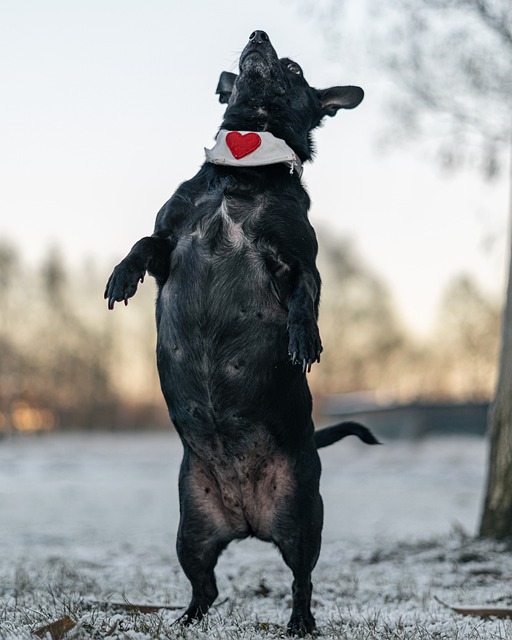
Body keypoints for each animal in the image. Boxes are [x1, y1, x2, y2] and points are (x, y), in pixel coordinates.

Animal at [105, 28, 376, 636]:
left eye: (293, 68)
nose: (258, 34)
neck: (243, 171)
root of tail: (248, 519)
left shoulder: (298, 261)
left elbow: (306, 298)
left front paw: (304, 338)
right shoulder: (170, 241)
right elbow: (141, 244)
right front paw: (122, 276)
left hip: (303, 518)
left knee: (302, 581)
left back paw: (300, 622)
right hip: (192, 528)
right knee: (205, 587)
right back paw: (186, 620)